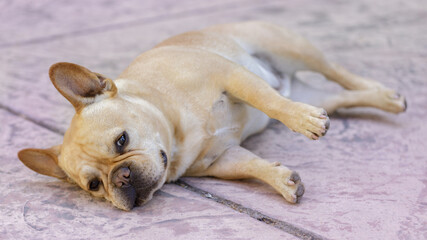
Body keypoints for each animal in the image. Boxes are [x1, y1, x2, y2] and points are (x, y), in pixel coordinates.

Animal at [17, 21, 408, 211]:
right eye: (95, 186)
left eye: (121, 141)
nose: (121, 178)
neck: (175, 128)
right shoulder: (221, 159)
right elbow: (249, 166)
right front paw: (282, 181)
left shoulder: (231, 75)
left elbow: (266, 100)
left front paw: (301, 121)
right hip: (313, 92)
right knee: (343, 96)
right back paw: (384, 100)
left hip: (293, 49)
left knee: (337, 73)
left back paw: (382, 95)